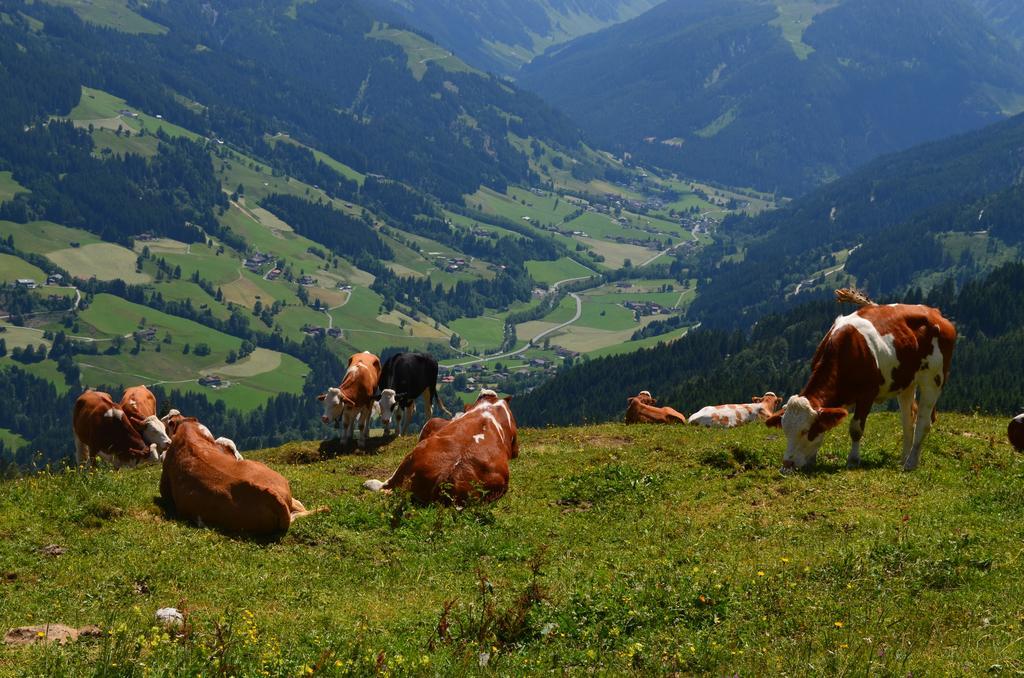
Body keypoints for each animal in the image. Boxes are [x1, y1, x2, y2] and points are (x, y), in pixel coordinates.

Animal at [765, 290, 954, 473]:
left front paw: (853, 460)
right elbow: (827, 422)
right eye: (785, 430)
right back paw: (904, 459)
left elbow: (856, 428)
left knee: (923, 422)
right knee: (908, 420)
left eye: (806, 431)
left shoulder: (867, 394)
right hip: (907, 383)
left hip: (934, 379)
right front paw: (812, 460)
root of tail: (934, 312)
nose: (787, 465)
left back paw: (911, 463)